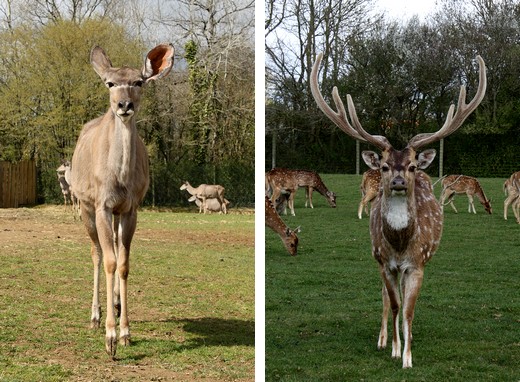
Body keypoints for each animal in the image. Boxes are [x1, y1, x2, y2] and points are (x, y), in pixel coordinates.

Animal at [312, 51, 488, 368]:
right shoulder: (384, 262)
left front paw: (408, 356)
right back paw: (382, 338)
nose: (397, 182)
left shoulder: (417, 263)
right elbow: (394, 305)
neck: (400, 243)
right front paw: (394, 348)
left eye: (412, 165)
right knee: (385, 295)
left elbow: (408, 309)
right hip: (380, 261)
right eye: (383, 166)